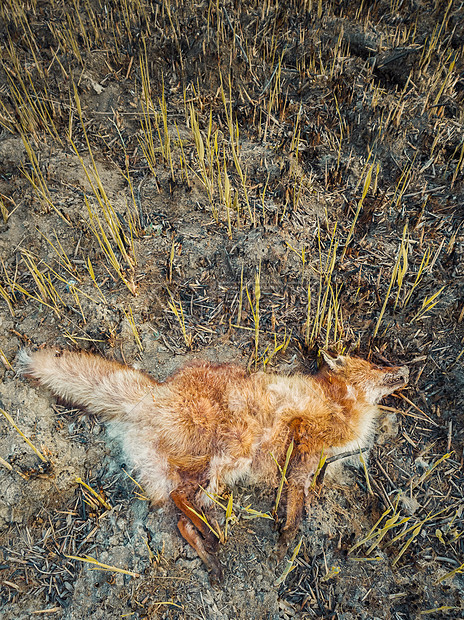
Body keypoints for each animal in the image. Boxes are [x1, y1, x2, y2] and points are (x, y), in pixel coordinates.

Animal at [18, 348, 408, 580]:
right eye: (376, 366)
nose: (404, 367)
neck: (338, 403)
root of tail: (152, 395)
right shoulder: (305, 442)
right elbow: (296, 500)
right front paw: (287, 539)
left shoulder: (311, 454)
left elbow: (301, 493)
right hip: (237, 448)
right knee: (187, 500)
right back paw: (212, 535)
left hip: (190, 470)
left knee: (180, 515)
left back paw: (209, 552)